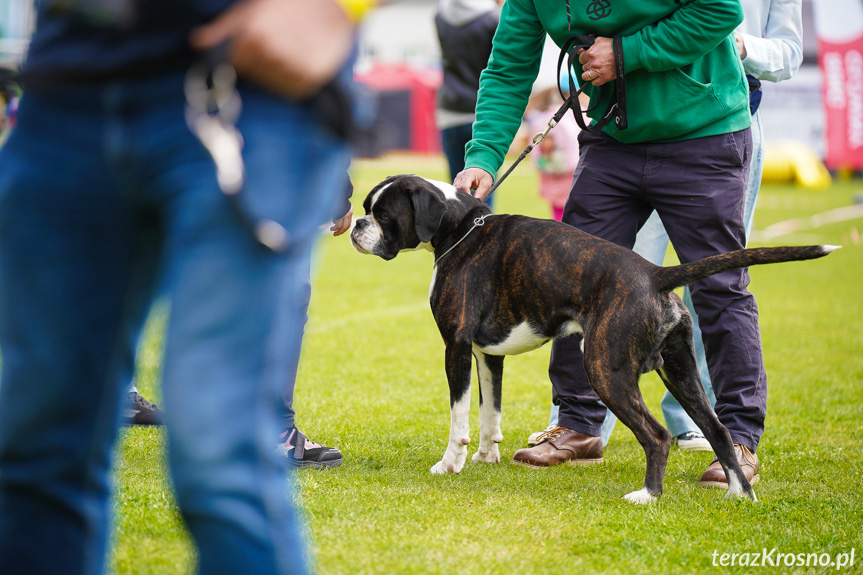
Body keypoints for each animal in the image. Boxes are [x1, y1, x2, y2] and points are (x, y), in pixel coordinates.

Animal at [352, 174, 836, 504]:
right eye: (367, 209)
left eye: (383, 215)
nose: (356, 223)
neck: (460, 226)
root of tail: (654, 274)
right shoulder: (488, 355)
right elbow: (491, 413)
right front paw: (487, 459)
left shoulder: (455, 347)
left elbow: (459, 419)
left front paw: (449, 464)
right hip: (680, 373)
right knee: (717, 427)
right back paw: (739, 493)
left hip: (606, 369)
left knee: (657, 435)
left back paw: (648, 497)